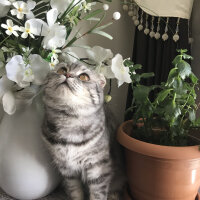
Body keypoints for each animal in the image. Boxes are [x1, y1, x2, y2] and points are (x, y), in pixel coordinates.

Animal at [42, 63, 125, 200]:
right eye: (62, 70)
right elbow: (75, 191)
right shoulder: (67, 170)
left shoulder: (98, 169)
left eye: (84, 77)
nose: (67, 74)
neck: (69, 122)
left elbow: (97, 195)